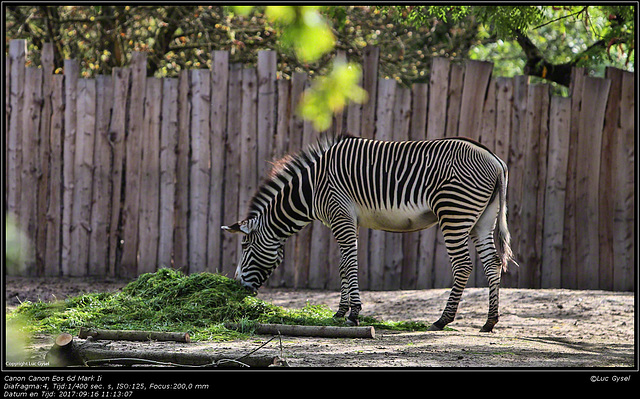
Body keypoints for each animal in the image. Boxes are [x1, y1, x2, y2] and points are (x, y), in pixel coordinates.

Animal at [222, 133, 516, 332]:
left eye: (245, 245)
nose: (237, 287)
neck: (312, 188)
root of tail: (496, 160)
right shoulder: (345, 220)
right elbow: (343, 265)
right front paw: (339, 313)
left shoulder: (340, 214)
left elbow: (350, 264)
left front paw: (353, 313)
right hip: (482, 219)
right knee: (492, 263)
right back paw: (490, 321)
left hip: (455, 212)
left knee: (464, 264)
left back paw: (443, 320)